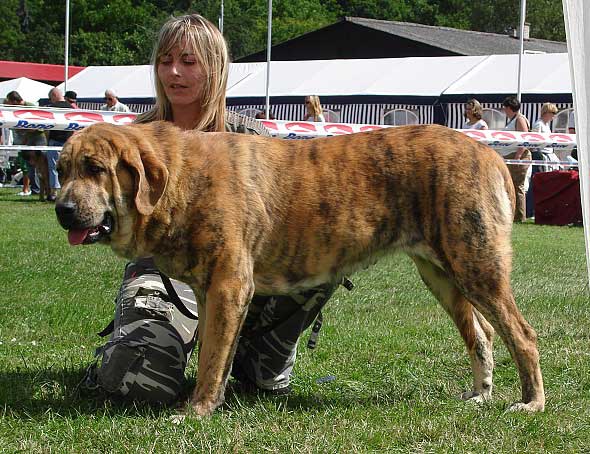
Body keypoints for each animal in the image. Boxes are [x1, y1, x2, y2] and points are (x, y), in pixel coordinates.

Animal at [54, 120, 544, 414]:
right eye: (63, 169)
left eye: (95, 168)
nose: (62, 209)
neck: (181, 179)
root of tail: (491, 155)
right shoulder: (214, 294)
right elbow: (218, 352)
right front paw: (210, 403)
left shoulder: (229, 285)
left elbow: (212, 358)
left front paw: (195, 412)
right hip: (442, 275)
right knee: (482, 335)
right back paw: (480, 395)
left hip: (477, 266)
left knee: (522, 334)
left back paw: (530, 403)